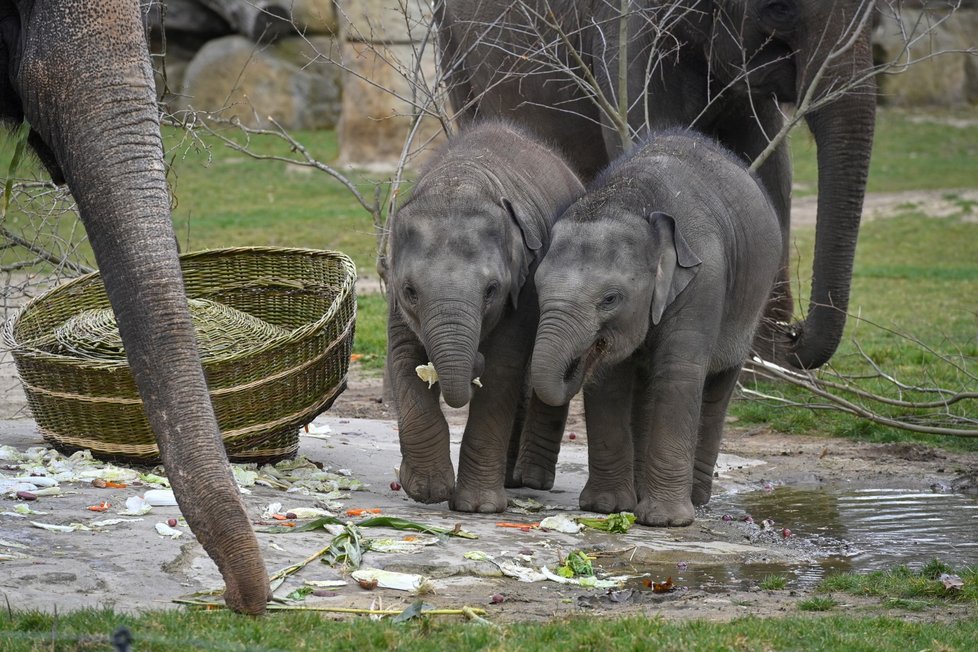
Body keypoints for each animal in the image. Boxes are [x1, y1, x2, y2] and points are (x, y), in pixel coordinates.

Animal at [386, 119, 584, 512]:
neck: (462, 177)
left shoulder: (526, 288)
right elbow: (404, 359)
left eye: (491, 290)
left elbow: (502, 369)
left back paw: (529, 480)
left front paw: (478, 506)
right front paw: (428, 491)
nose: (474, 357)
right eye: (410, 291)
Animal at [528, 130, 780, 528]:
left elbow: (678, 374)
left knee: (717, 386)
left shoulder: (704, 278)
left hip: (752, 301)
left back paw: (696, 498)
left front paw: (665, 520)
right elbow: (610, 382)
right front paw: (606, 507)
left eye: (610, 299)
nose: (583, 356)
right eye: (537, 289)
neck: (630, 200)